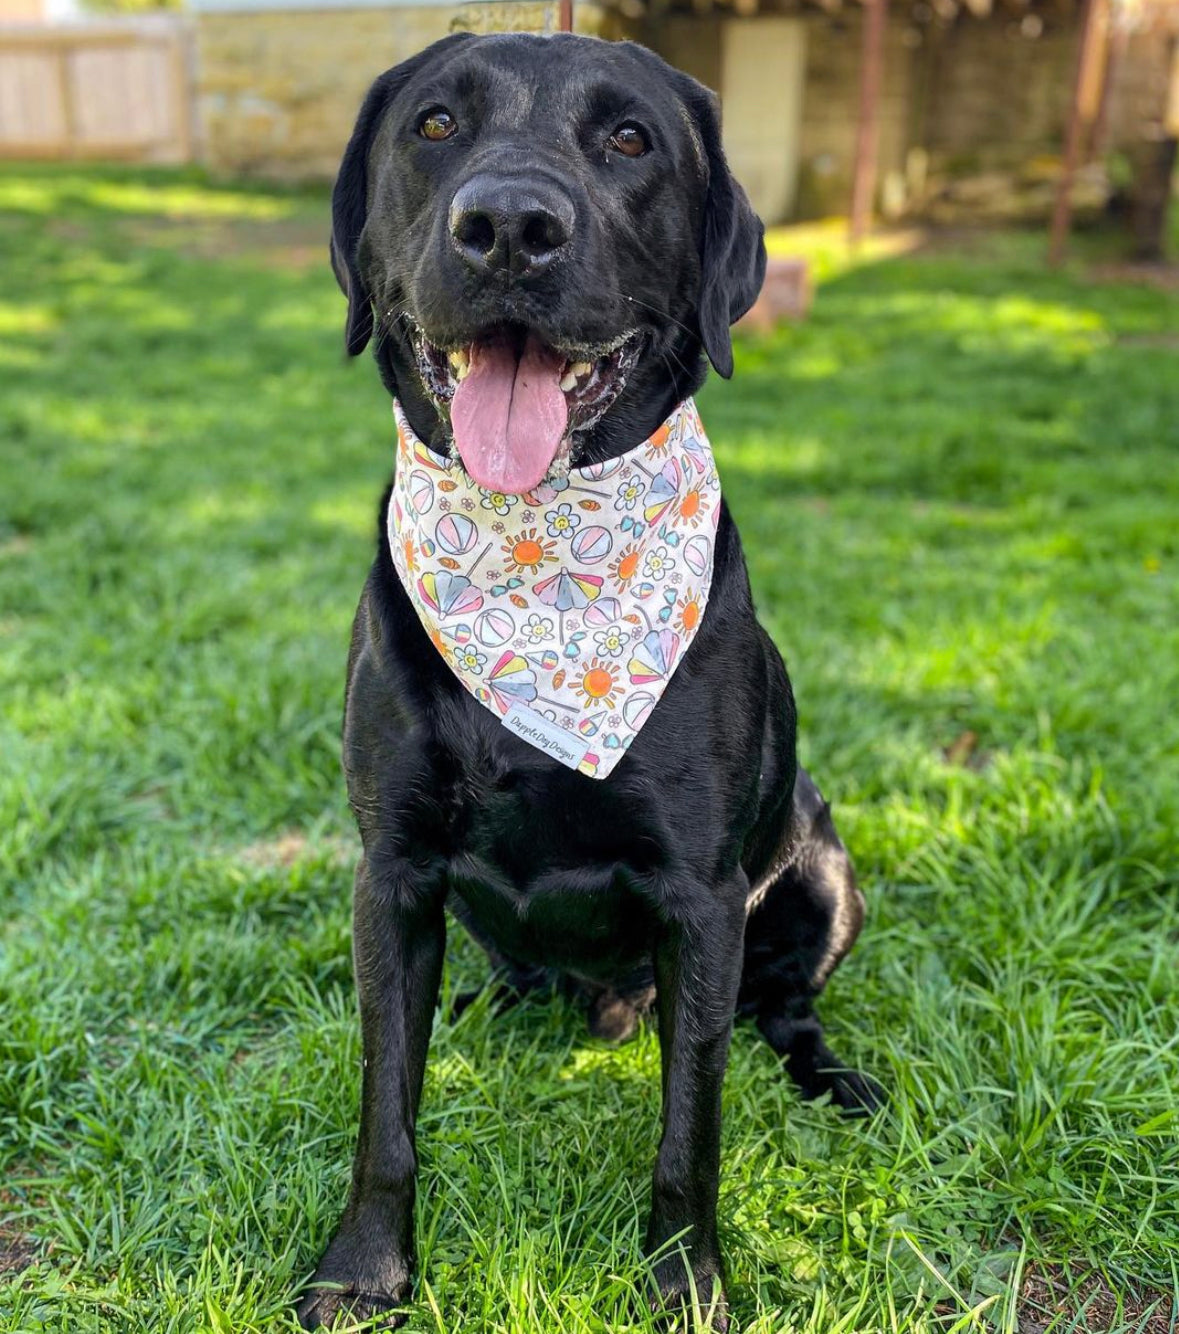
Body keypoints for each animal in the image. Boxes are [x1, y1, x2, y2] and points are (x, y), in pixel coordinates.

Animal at [298, 31, 880, 1334]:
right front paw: (364, 1269)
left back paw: (834, 1077)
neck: (537, 581)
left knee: (786, 1010)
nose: (510, 225)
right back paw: (489, 1009)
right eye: (435, 124)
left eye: (629, 139)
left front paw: (687, 1281)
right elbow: (386, 1109)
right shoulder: (390, 869)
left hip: (825, 871)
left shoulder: (703, 898)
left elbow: (689, 1131)